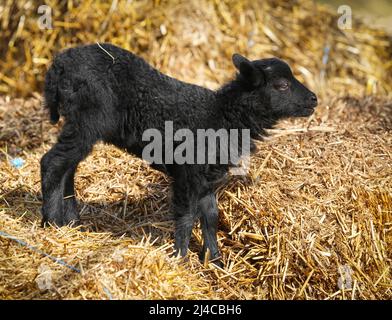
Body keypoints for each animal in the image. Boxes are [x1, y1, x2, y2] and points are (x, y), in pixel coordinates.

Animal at [41, 44, 316, 264]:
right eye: (282, 85)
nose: (314, 99)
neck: (222, 116)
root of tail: (59, 64)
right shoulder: (188, 172)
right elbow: (186, 217)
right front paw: (181, 259)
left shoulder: (207, 177)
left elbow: (210, 217)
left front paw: (215, 260)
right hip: (89, 119)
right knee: (51, 162)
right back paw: (51, 224)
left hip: (81, 124)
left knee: (67, 168)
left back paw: (72, 223)